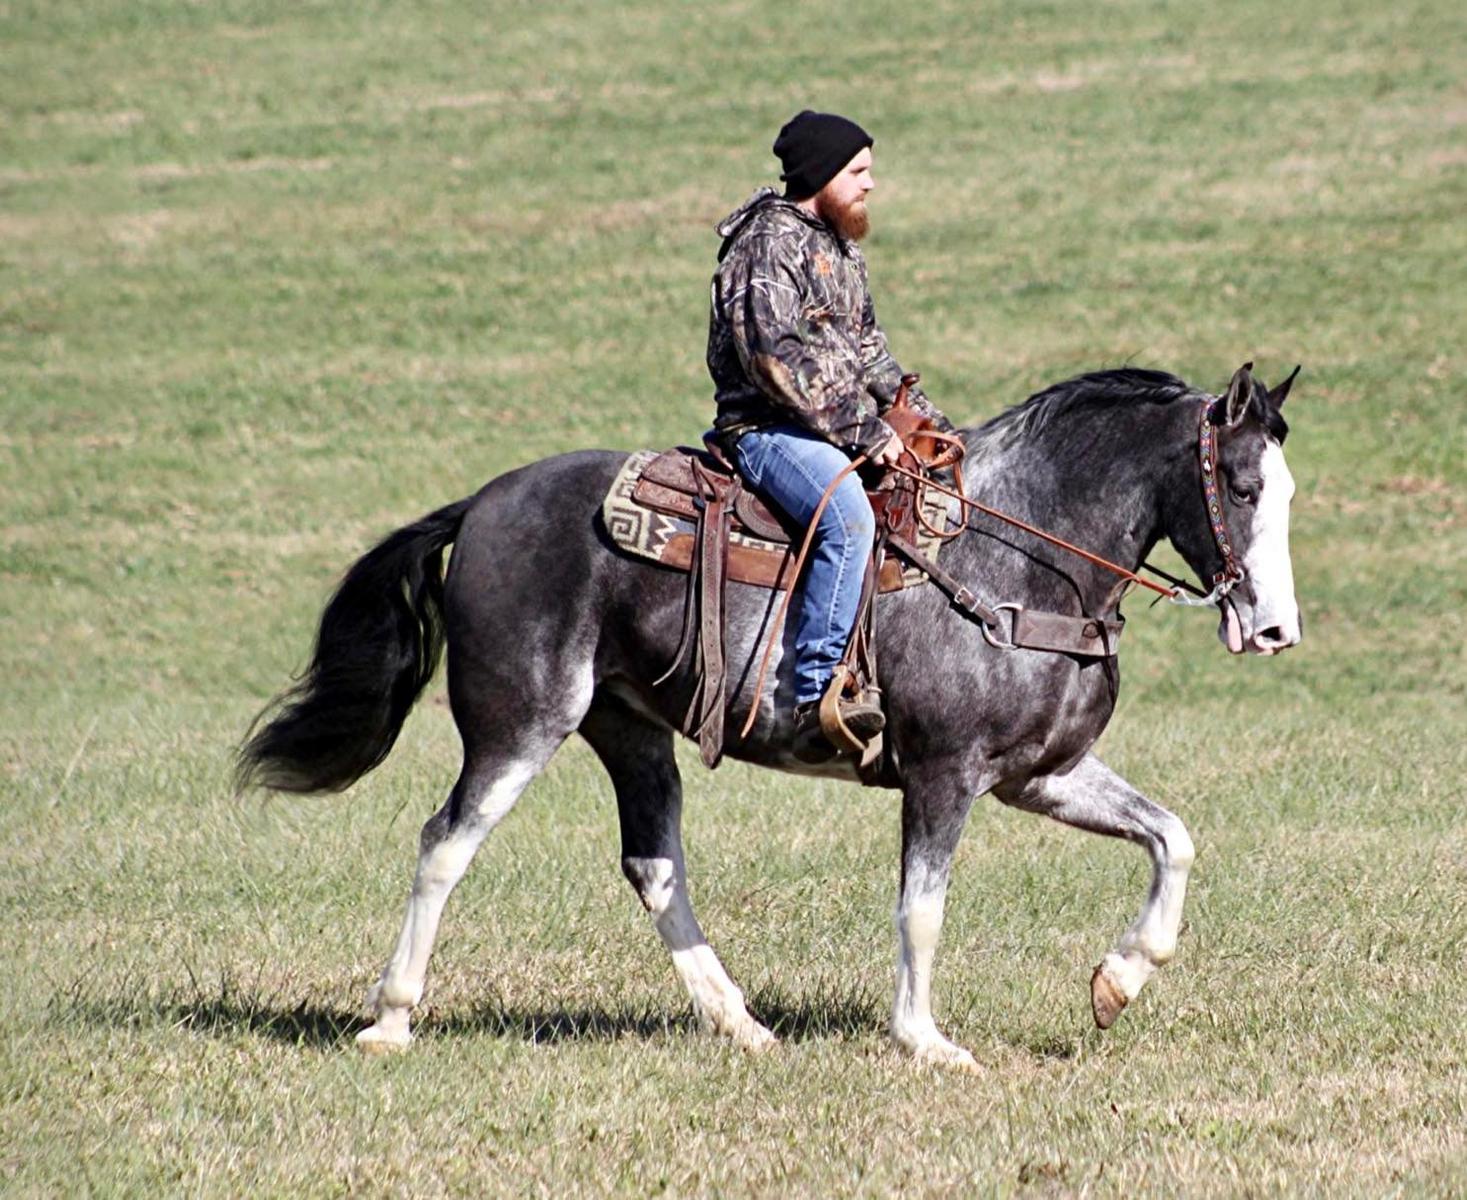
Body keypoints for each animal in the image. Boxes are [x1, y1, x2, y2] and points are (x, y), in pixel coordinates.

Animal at [237, 361, 1301, 1069]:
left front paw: (1118, 982)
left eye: (1288, 491)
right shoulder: (943, 774)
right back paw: (390, 1019)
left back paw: (740, 1023)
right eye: (1242, 485)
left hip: (629, 730)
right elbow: (921, 908)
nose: (1275, 628)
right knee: (446, 842)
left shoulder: (1042, 775)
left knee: (653, 865)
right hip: (519, 724)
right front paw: (924, 1040)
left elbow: (1172, 838)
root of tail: (483, 505)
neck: (1019, 558)